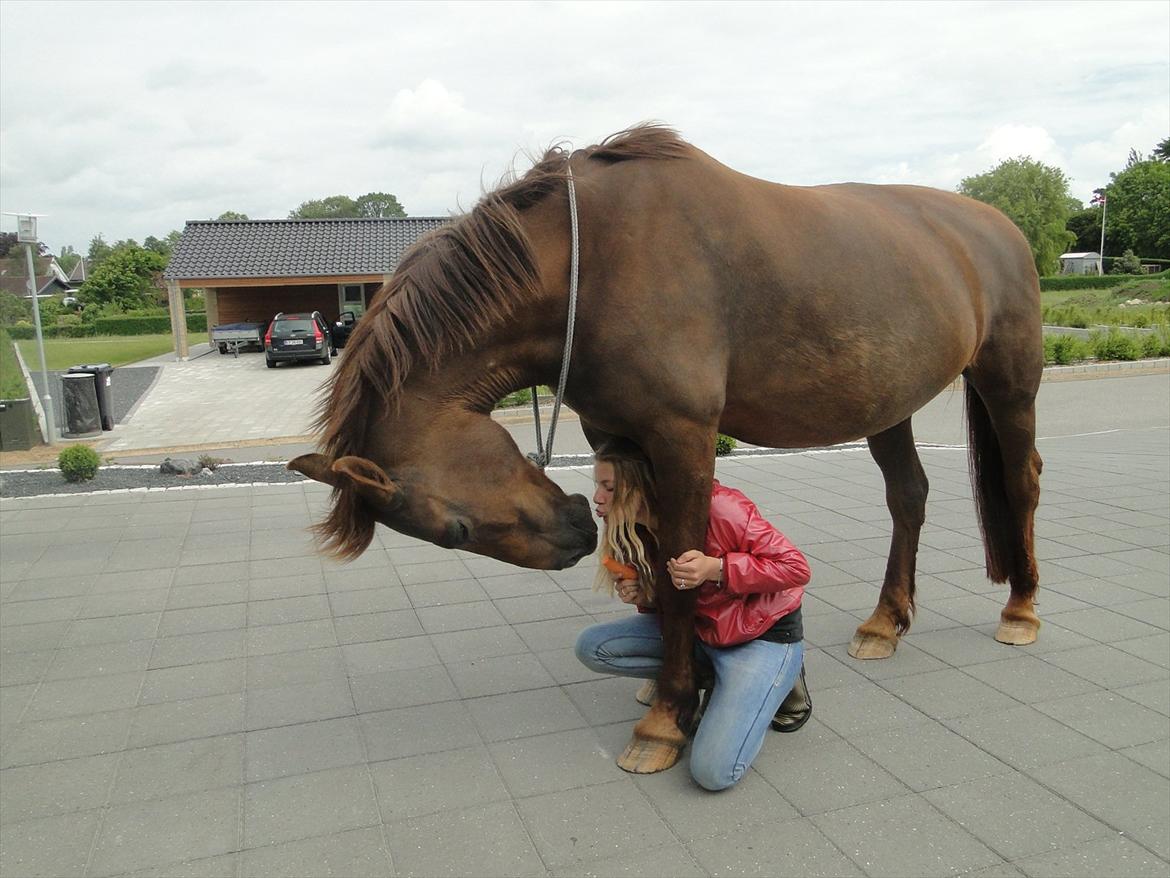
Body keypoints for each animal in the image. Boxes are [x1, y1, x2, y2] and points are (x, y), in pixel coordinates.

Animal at [290, 125, 1043, 777]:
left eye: (455, 529)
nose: (574, 536)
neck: (589, 264)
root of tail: (999, 225)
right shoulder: (617, 436)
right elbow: (651, 554)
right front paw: (670, 692)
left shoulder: (683, 436)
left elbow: (685, 570)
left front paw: (664, 723)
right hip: (887, 402)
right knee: (908, 495)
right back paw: (886, 623)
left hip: (1008, 384)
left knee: (1022, 483)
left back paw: (1021, 610)